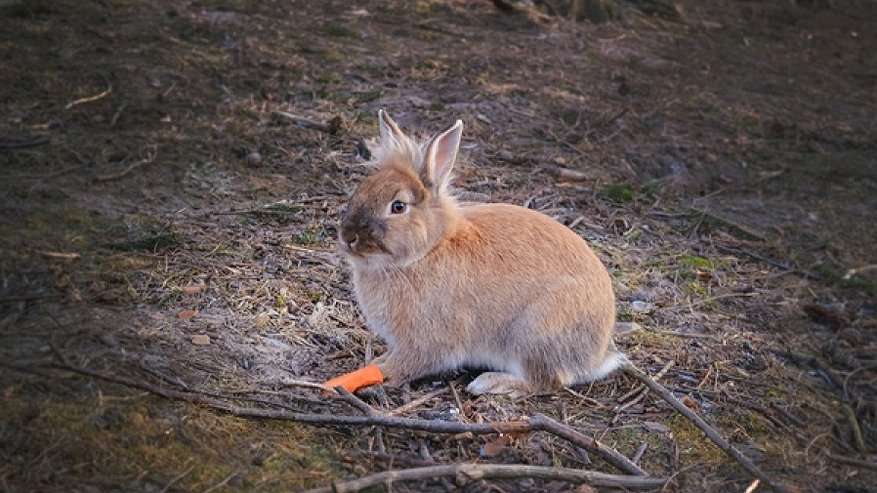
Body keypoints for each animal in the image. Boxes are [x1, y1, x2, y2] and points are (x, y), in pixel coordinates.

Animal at [338, 109, 624, 394]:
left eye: (398, 207)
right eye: (362, 189)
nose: (348, 237)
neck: (427, 251)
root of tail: (597, 357)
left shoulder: (428, 340)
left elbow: (411, 363)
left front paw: (383, 372)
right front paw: (378, 360)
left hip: (533, 334)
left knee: (546, 381)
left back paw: (491, 382)